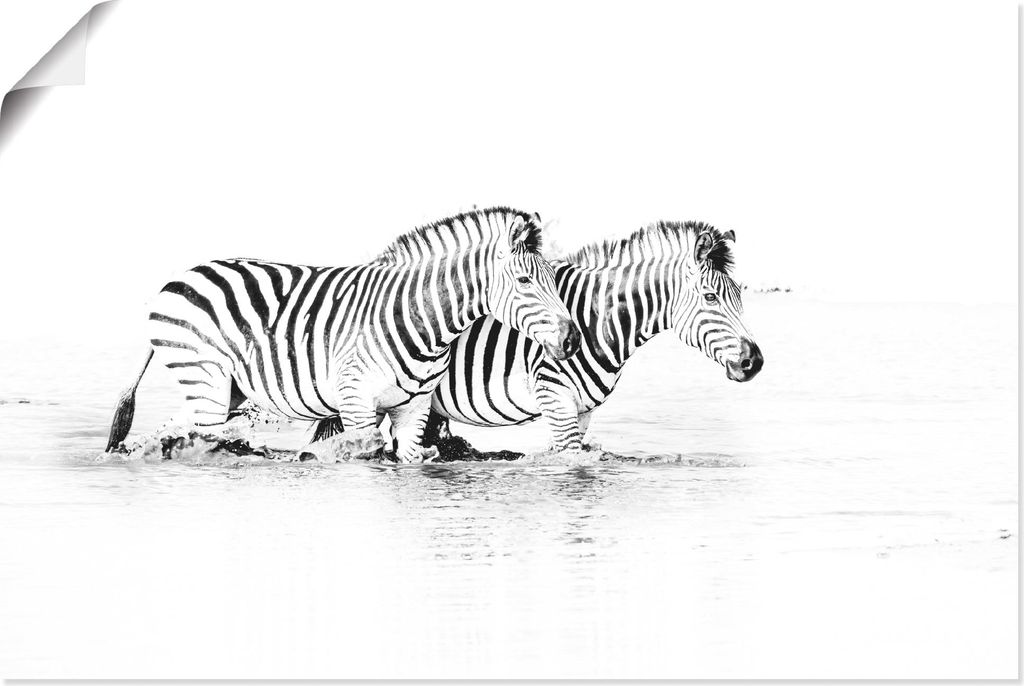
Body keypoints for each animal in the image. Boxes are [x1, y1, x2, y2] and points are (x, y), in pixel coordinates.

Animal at [105, 207, 582, 463]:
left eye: (553, 278)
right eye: (524, 281)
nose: (573, 341)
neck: (422, 323)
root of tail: (182, 275)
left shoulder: (413, 410)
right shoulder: (356, 405)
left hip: (223, 391)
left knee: (168, 433)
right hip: (205, 379)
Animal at [424, 220, 764, 452]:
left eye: (740, 296)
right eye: (710, 298)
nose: (755, 362)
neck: (595, 320)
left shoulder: (583, 409)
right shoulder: (553, 394)